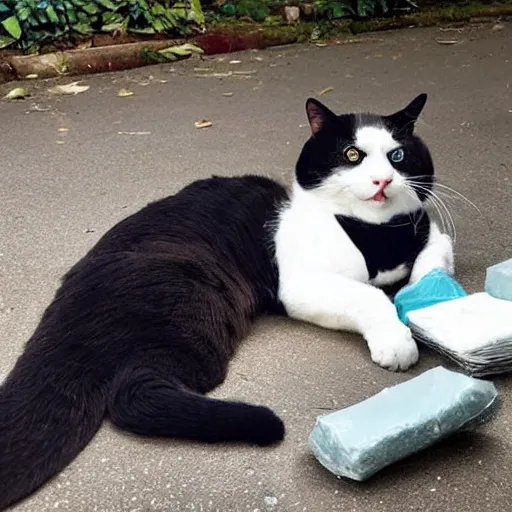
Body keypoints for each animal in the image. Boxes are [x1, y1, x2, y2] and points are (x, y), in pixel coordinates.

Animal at [0, 93, 454, 508]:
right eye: (352, 154)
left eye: (397, 155)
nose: (382, 180)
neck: (378, 233)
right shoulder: (300, 285)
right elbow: (370, 295)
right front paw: (396, 341)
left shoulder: (431, 234)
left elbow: (432, 265)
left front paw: (430, 304)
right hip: (192, 314)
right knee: (132, 392)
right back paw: (260, 422)